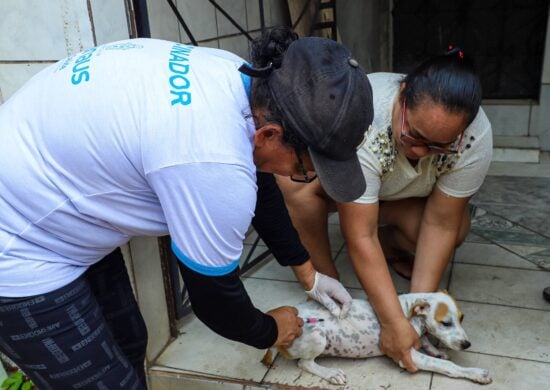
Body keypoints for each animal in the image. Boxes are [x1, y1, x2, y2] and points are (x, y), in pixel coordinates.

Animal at [266, 290, 494, 386]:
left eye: (462, 318)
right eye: (446, 323)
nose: (467, 344)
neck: (407, 312)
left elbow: (426, 340)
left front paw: (436, 349)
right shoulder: (407, 355)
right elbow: (449, 367)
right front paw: (475, 373)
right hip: (318, 335)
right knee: (304, 363)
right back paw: (331, 373)